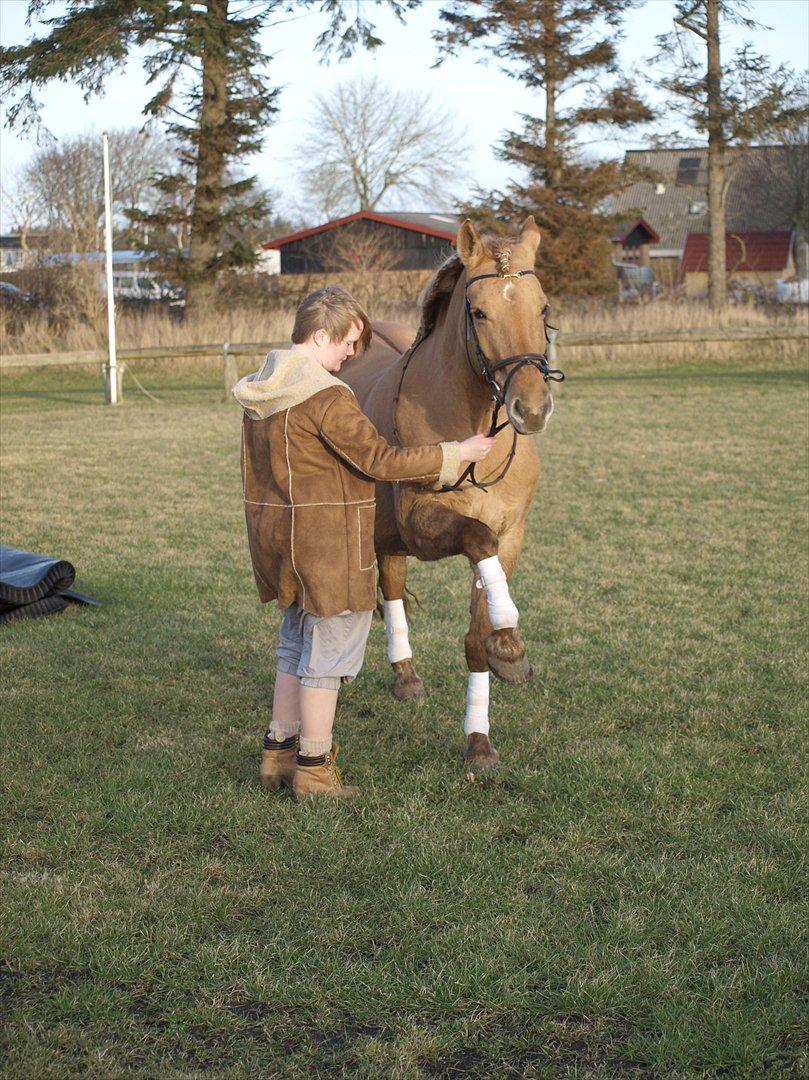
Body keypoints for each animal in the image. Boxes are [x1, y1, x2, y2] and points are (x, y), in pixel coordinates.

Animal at [336, 212, 557, 768]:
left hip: (388, 539)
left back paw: (406, 677)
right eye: (478, 312)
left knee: (392, 588)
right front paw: (510, 642)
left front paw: (498, 676)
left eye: (542, 306)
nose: (532, 409)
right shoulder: (426, 526)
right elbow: (475, 539)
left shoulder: (509, 533)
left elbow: (478, 632)